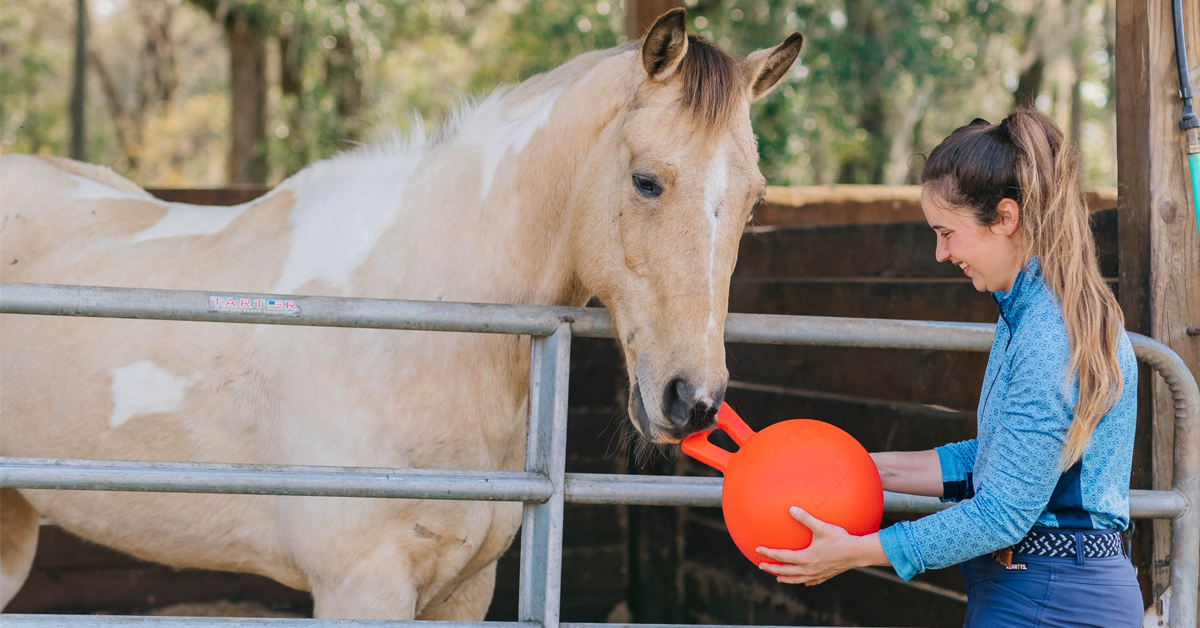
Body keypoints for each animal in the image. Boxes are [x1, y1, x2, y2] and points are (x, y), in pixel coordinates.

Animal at [0, 10, 801, 620]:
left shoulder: (464, 588)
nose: (692, 400)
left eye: (755, 200)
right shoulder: (362, 586)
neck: (420, 328)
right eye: (646, 181)